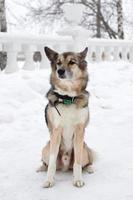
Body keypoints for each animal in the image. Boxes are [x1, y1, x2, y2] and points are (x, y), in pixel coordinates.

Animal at [36, 46, 94, 188]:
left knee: (86, 162)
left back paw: (89, 168)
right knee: (46, 162)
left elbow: (77, 162)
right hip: (46, 148)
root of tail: (65, 165)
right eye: (58, 63)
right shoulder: (56, 131)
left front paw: (78, 179)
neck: (68, 98)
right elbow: (51, 163)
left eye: (72, 62)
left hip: (84, 149)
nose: (60, 71)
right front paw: (49, 180)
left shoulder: (79, 131)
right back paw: (41, 167)